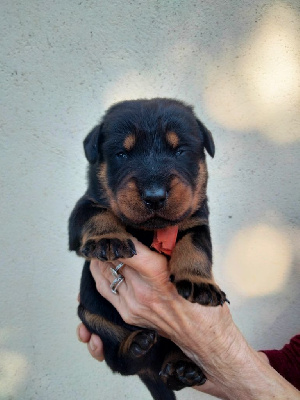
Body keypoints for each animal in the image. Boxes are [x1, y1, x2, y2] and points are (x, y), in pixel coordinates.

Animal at [68, 97, 227, 400]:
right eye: (122, 154)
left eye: (180, 151)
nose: (154, 196)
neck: (150, 229)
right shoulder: (82, 210)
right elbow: (98, 214)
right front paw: (108, 239)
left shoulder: (196, 221)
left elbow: (196, 247)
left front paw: (199, 283)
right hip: (91, 315)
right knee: (120, 361)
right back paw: (136, 346)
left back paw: (181, 369)